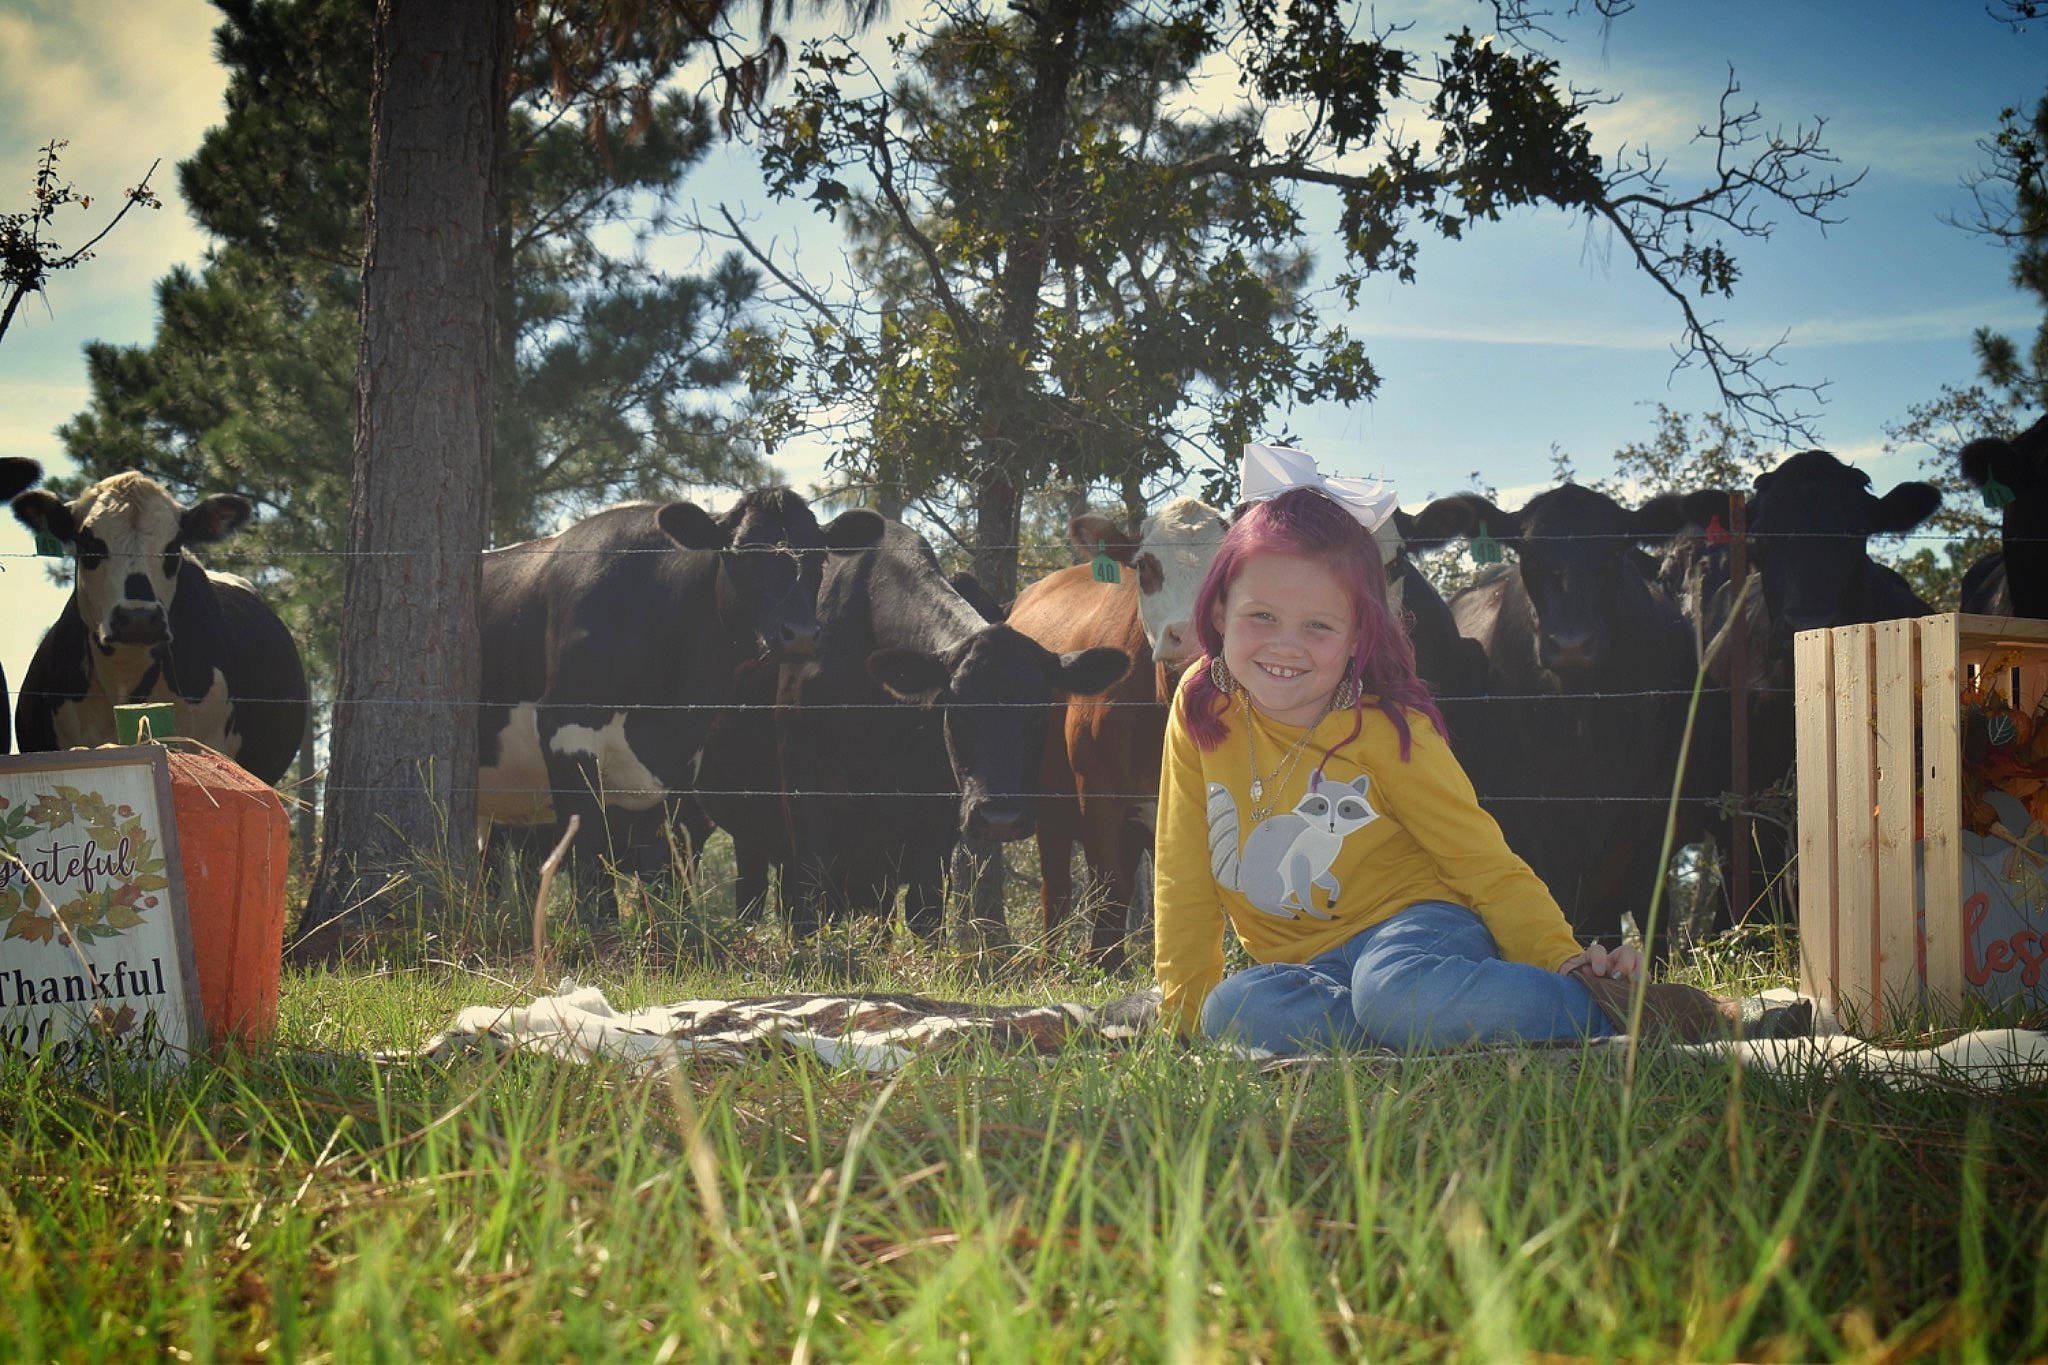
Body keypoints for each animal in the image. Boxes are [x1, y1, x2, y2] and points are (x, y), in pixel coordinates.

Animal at [476, 488, 884, 911]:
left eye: (820, 558)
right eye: (742, 554)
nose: (801, 634)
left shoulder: (677, 775)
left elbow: (663, 883)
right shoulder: (567, 737)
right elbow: (594, 885)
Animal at [696, 517, 1130, 939]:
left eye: (1040, 713)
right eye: (956, 711)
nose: (1000, 817)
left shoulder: (933, 828)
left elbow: (925, 915)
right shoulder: (807, 804)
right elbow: (809, 909)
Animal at [1409, 483, 1728, 946]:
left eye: (1613, 554)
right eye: (1528, 556)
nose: (1571, 645)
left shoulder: (1649, 819)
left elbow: (1651, 911)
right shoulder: (1531, 815)